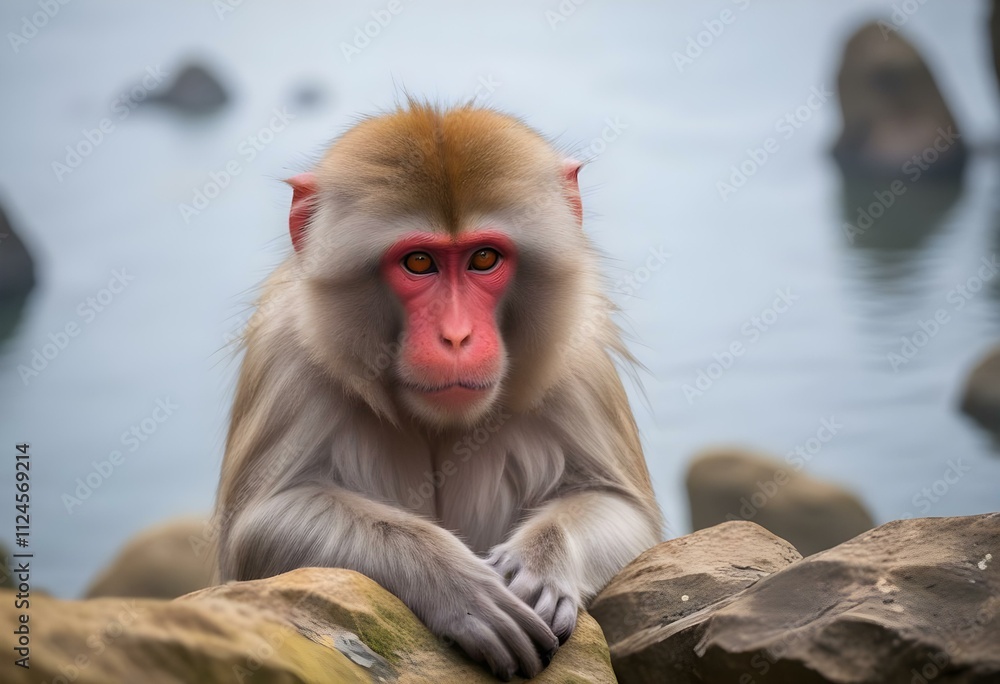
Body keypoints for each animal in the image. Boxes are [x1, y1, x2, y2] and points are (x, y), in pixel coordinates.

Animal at [214, 101, 663, 680]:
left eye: (484, 259)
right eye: (420, 262)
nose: (456, 336)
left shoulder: (576, 357)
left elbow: (622, 509)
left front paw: (539, 567)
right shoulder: (285, 351)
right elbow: (259, 527)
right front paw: (456, 583)